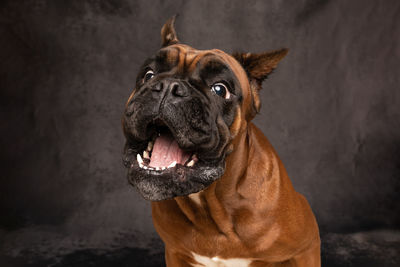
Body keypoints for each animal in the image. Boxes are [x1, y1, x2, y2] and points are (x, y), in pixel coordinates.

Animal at [120, 17, 320, 267]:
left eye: (219, 89)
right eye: (148, 74)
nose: (167, 87)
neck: (211, 204)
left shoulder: (306, 249)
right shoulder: (176, 253)